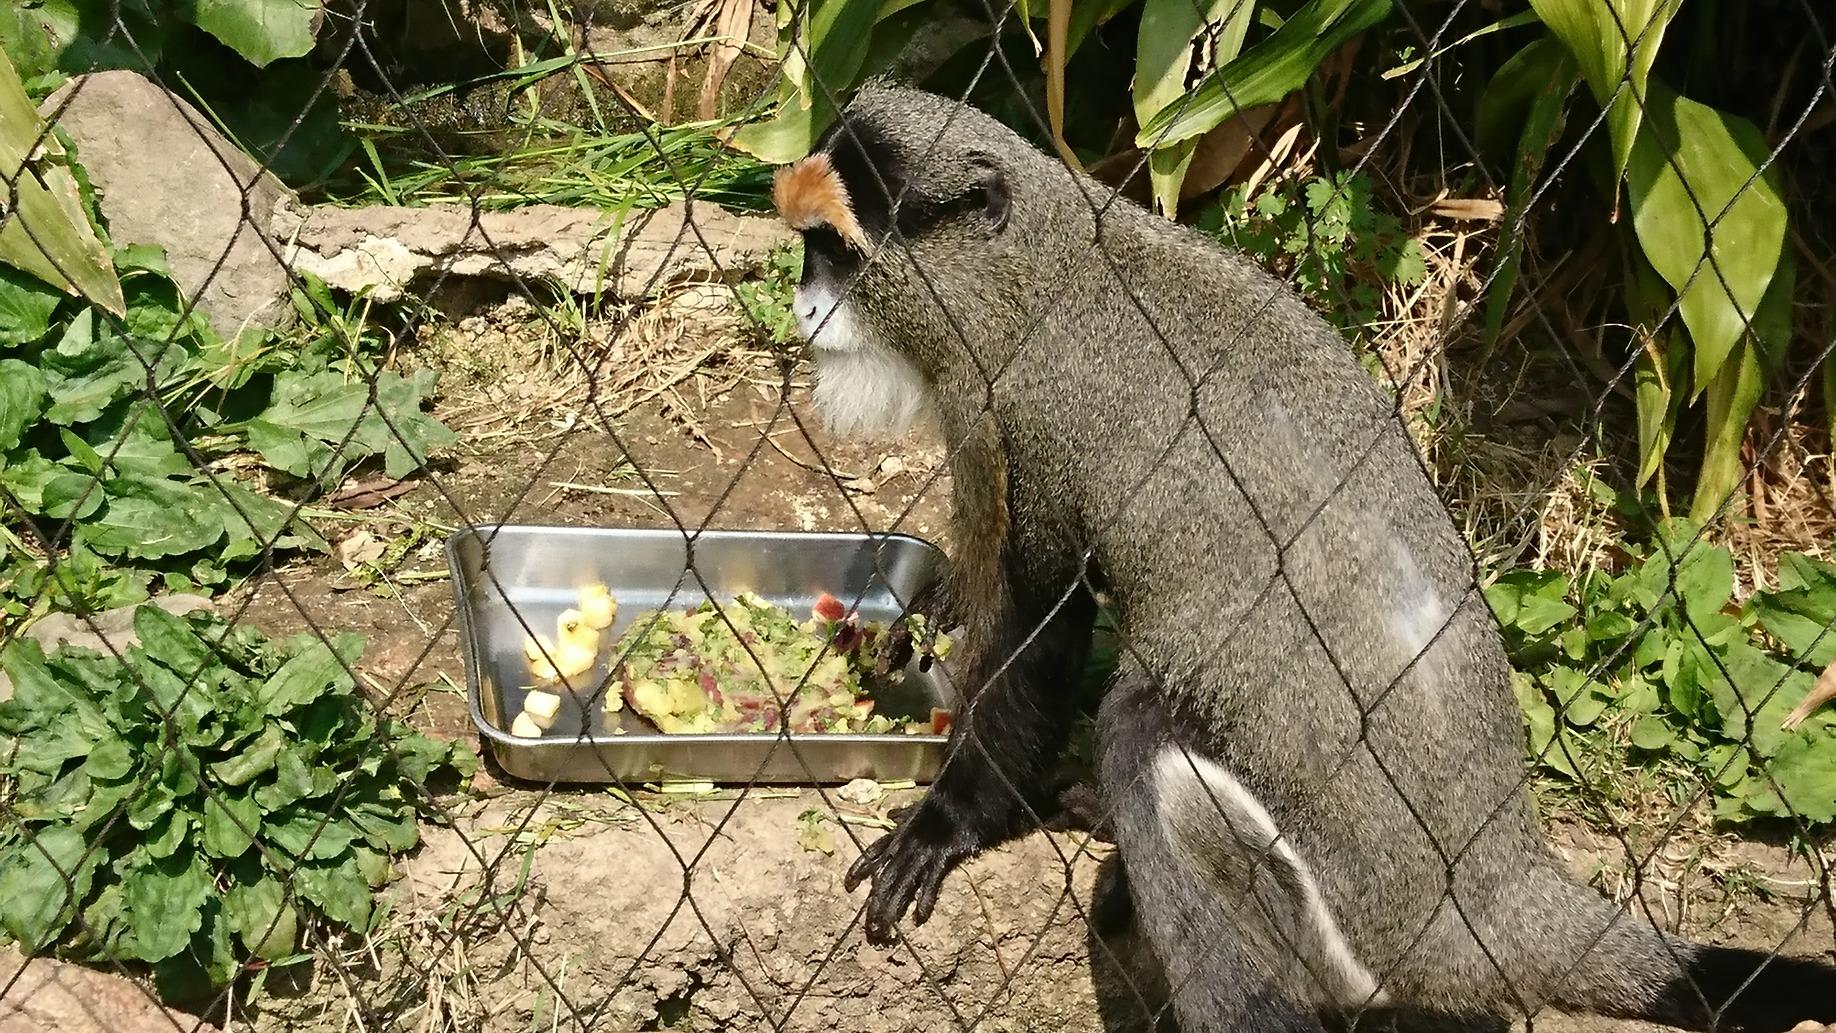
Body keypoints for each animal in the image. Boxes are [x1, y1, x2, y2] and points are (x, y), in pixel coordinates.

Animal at [763, 83, 1836, 1033]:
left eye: (836, 252)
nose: (804, 305)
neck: (1045, 264)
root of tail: (1493, 900)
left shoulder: (1018, 419)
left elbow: (1035, 630)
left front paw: (947, 819)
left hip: (1345, 931)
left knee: (1144, 734)